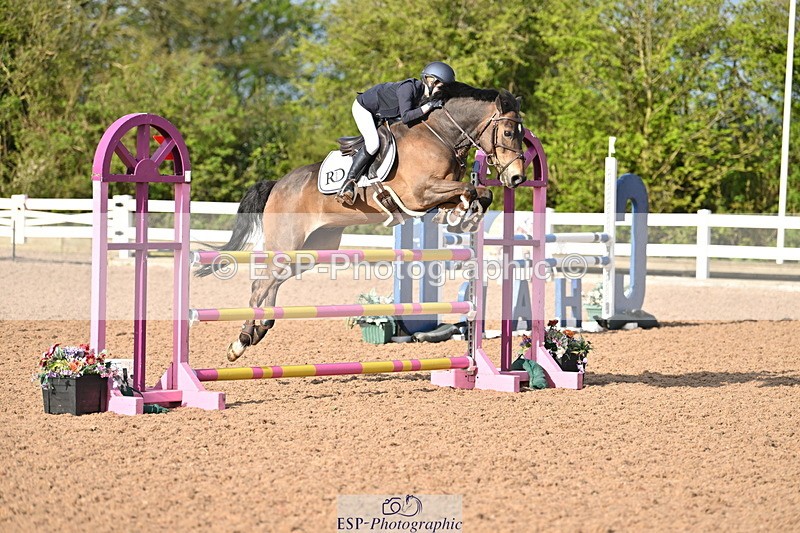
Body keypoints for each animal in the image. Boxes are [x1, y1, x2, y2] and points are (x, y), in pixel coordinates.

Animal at [197, 82, 528, 362]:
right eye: (509, 133)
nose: (516, 178)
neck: (440, 135)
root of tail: (278, 184)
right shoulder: (421, 192)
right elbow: (469, 189)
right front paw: (462, 215)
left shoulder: (434, 195)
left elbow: (480, 193)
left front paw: (462, 217)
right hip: (287, 243)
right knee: (260, 283)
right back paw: (241, 341)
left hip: (313, 249)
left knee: (273, 280)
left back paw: (261, 327)